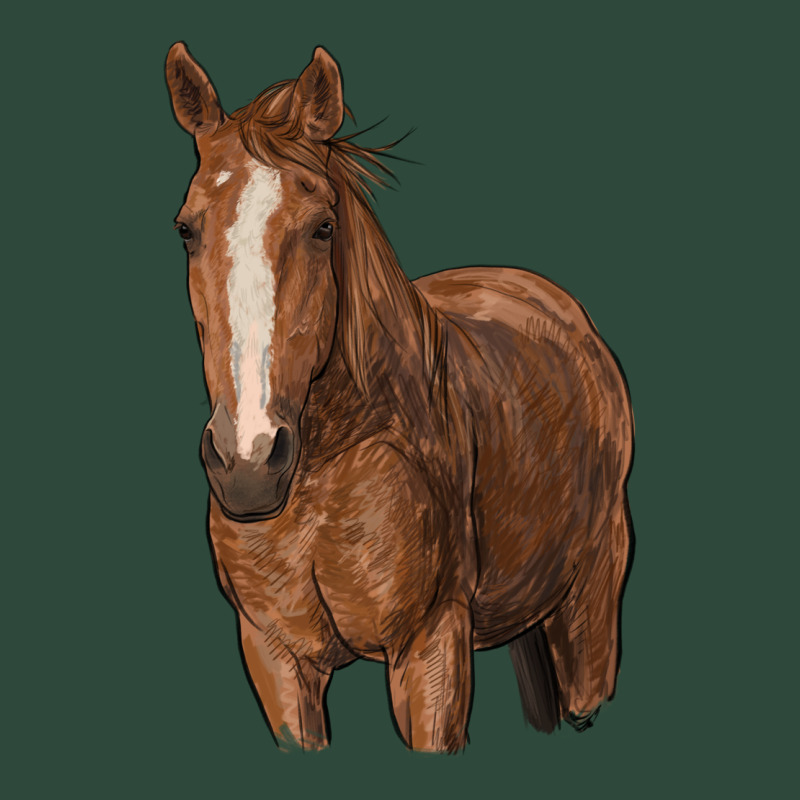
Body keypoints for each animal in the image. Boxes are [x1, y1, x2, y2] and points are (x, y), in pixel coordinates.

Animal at [165, 42, 634, 753]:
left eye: (322, 227)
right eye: (187, 230)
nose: (247, 463)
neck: (324, 472)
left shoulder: (430, 648)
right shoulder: (275, 659)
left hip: (589, 603)